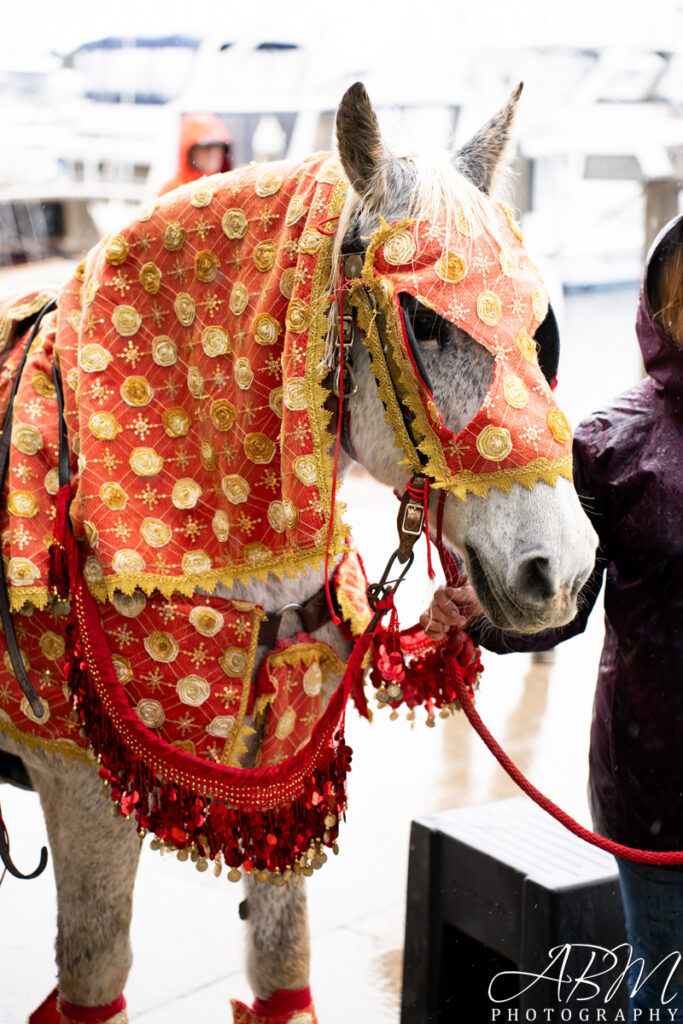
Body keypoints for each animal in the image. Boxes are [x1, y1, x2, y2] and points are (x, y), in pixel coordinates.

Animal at [0, 83, 593, 1019]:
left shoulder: (277, 774)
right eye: (422, 319)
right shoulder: (80, 788)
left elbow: (282, 962)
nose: (561, 571)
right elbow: (95, 974)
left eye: (543, 327)